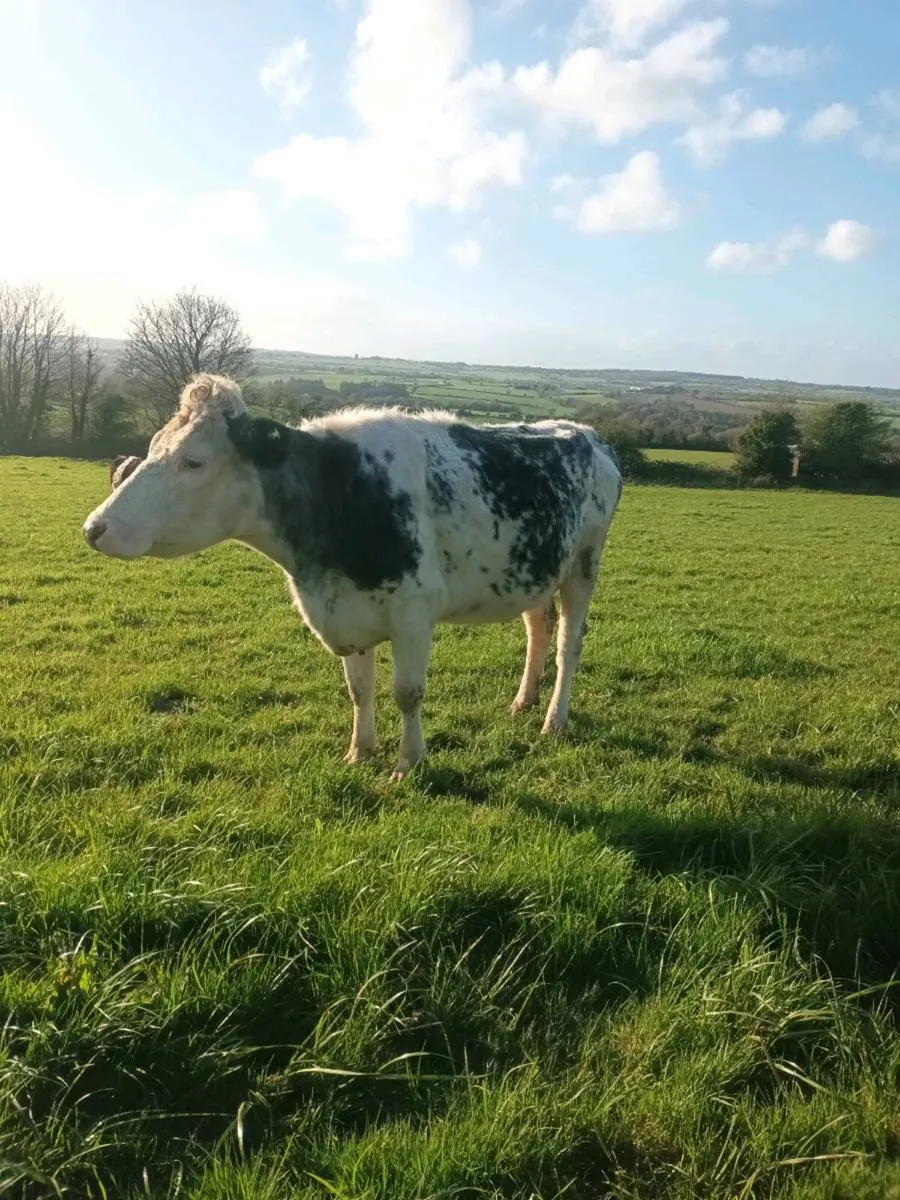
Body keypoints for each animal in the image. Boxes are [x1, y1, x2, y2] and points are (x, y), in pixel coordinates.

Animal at [83, 373, 623, 780]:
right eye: (152, 447)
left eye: (193, 461)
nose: (95, 527)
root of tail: (589, 435)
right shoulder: (346, 611)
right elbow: (359, 689)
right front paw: (360, 752)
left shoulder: (413, 614)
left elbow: (407, 692)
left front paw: (408, 763)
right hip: (537, 568)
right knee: (538, 629)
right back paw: (523, 701)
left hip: (584, 565)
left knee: (569, 643)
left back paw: (553, 720)